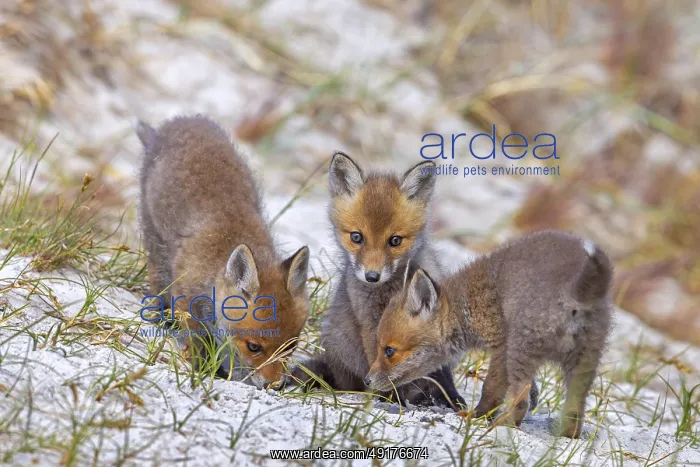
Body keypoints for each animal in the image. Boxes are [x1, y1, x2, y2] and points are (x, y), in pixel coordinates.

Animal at [137, 115, 310, 389]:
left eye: (290, 347)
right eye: (254, 347)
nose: (274, 385)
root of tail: (177, 121)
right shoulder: (187, 300)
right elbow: (197, 343)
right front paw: (201, 369)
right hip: (156, 242)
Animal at [291, 152, 468, 409]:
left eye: (395, 241)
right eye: (357, 237)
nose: (372, 276)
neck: (390, 292)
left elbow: (440, 370)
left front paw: (450, 398)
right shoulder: (370, 322)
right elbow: (381, 362)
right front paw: (390, 396)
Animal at [365, 230, 613, 438]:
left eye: (389, 351)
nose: (367, 380)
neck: (468, 303)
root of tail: (574, 293)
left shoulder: (501, 347)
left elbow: (491, 390)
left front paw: (477, 416)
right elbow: (529, 389)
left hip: (521, 350)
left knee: (520, 403)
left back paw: (500, 427)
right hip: (584, 364)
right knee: (575, 411)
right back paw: (565, 437)